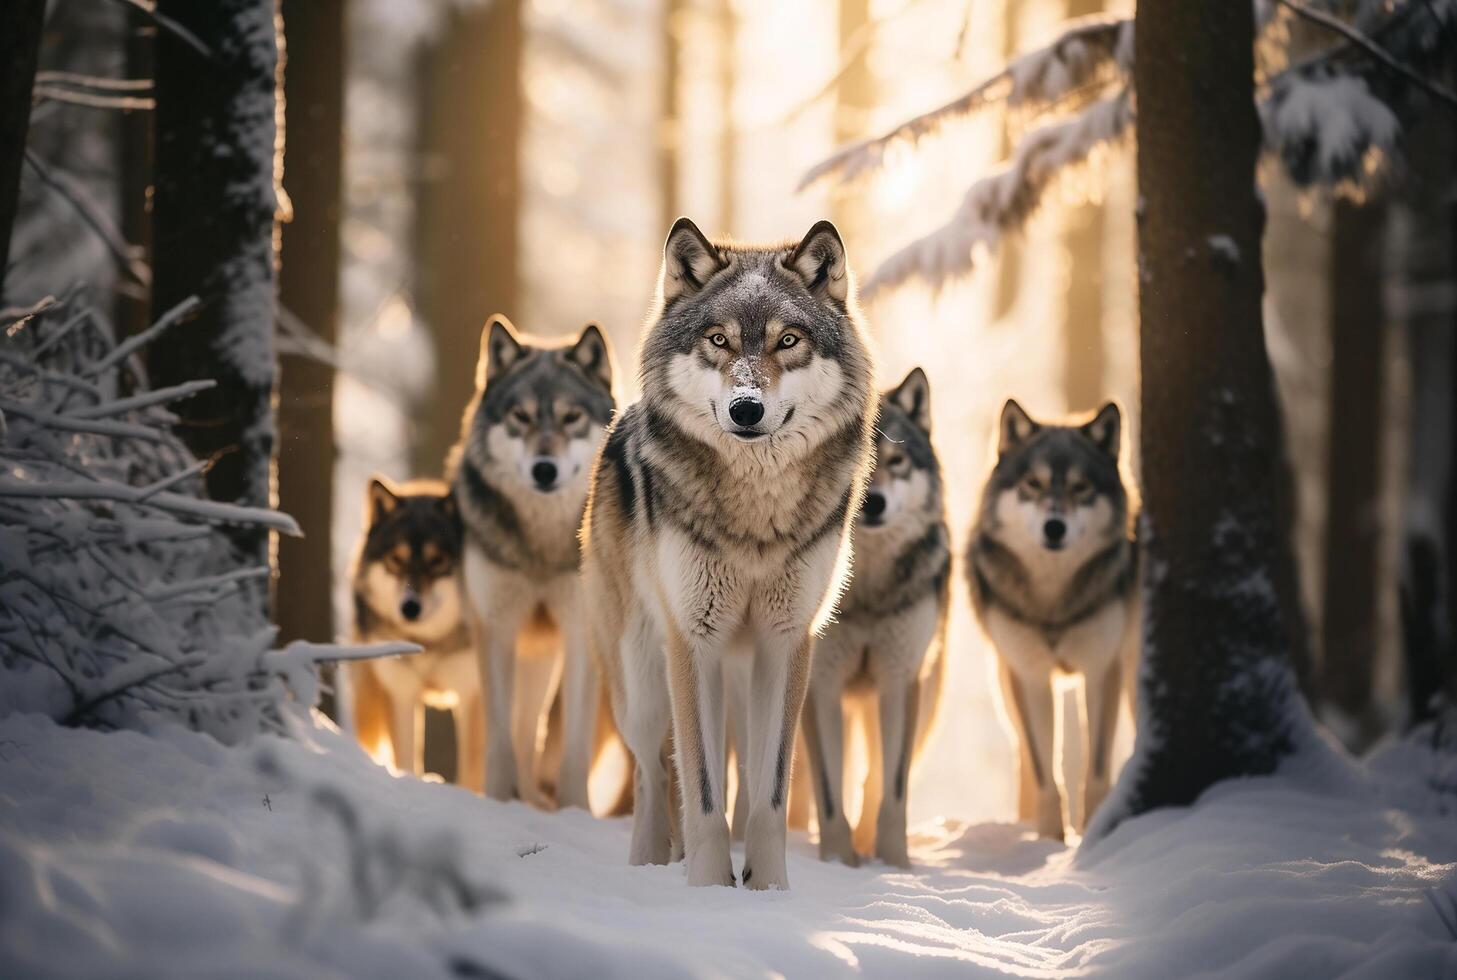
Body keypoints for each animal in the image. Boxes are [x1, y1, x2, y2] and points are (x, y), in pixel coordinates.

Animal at [451, 317, 617, 803]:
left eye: (570, 417)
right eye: (520, 417)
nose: (545, 469)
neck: (541, 546)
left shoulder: (580, 631)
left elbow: (573, 748)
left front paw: (574, 808)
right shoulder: (496, 628)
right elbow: (500, 738)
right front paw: (497, 799)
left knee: (534, 733)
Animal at [579, 218, 874, 891]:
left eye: (788, 340)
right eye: (718, 339)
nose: (745, 408)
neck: (754, 517)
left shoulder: (786, 642)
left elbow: (769, 795)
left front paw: (767, 891)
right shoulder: (694, 640)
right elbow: (704, 792)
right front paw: (710, 890)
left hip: (738, 676)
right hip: (643, 681)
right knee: (653, 774)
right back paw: (649, 867)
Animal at [804, 365, 949, 862]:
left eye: (896, 459)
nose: (873, 502)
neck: (864, 589)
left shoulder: (897, 680)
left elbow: (892, 787)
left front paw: (892, 862)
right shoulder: (821, 686)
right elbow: (830, 793)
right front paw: (837, 862)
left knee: (871, 779)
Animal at [967, 398, 1136, 838]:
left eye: (1081, 487)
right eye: (1033, 484)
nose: (1054, 527)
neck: (1052, 601)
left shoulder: (1101, 669)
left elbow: (1095, 768)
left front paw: (1091, 830)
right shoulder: (1030, 676)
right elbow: (1044, 767)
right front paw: (1049, 838)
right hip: (1005, 682)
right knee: (1023, 753)